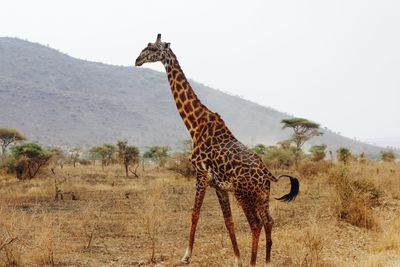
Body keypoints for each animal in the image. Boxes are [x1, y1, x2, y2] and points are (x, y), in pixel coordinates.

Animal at [136, 34, 298, 266]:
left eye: (152, 48)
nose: (137, 60)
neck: (195, 125)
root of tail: (268, 175)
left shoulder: (201, 174)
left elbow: (194, 213)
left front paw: (186, 256)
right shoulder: (219, 185)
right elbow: (228, 220)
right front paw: (237, 259)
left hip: (243, 193)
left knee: (255, 223)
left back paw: (253, 262)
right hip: (261, 195)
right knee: (268, 221)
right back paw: (266, 261)